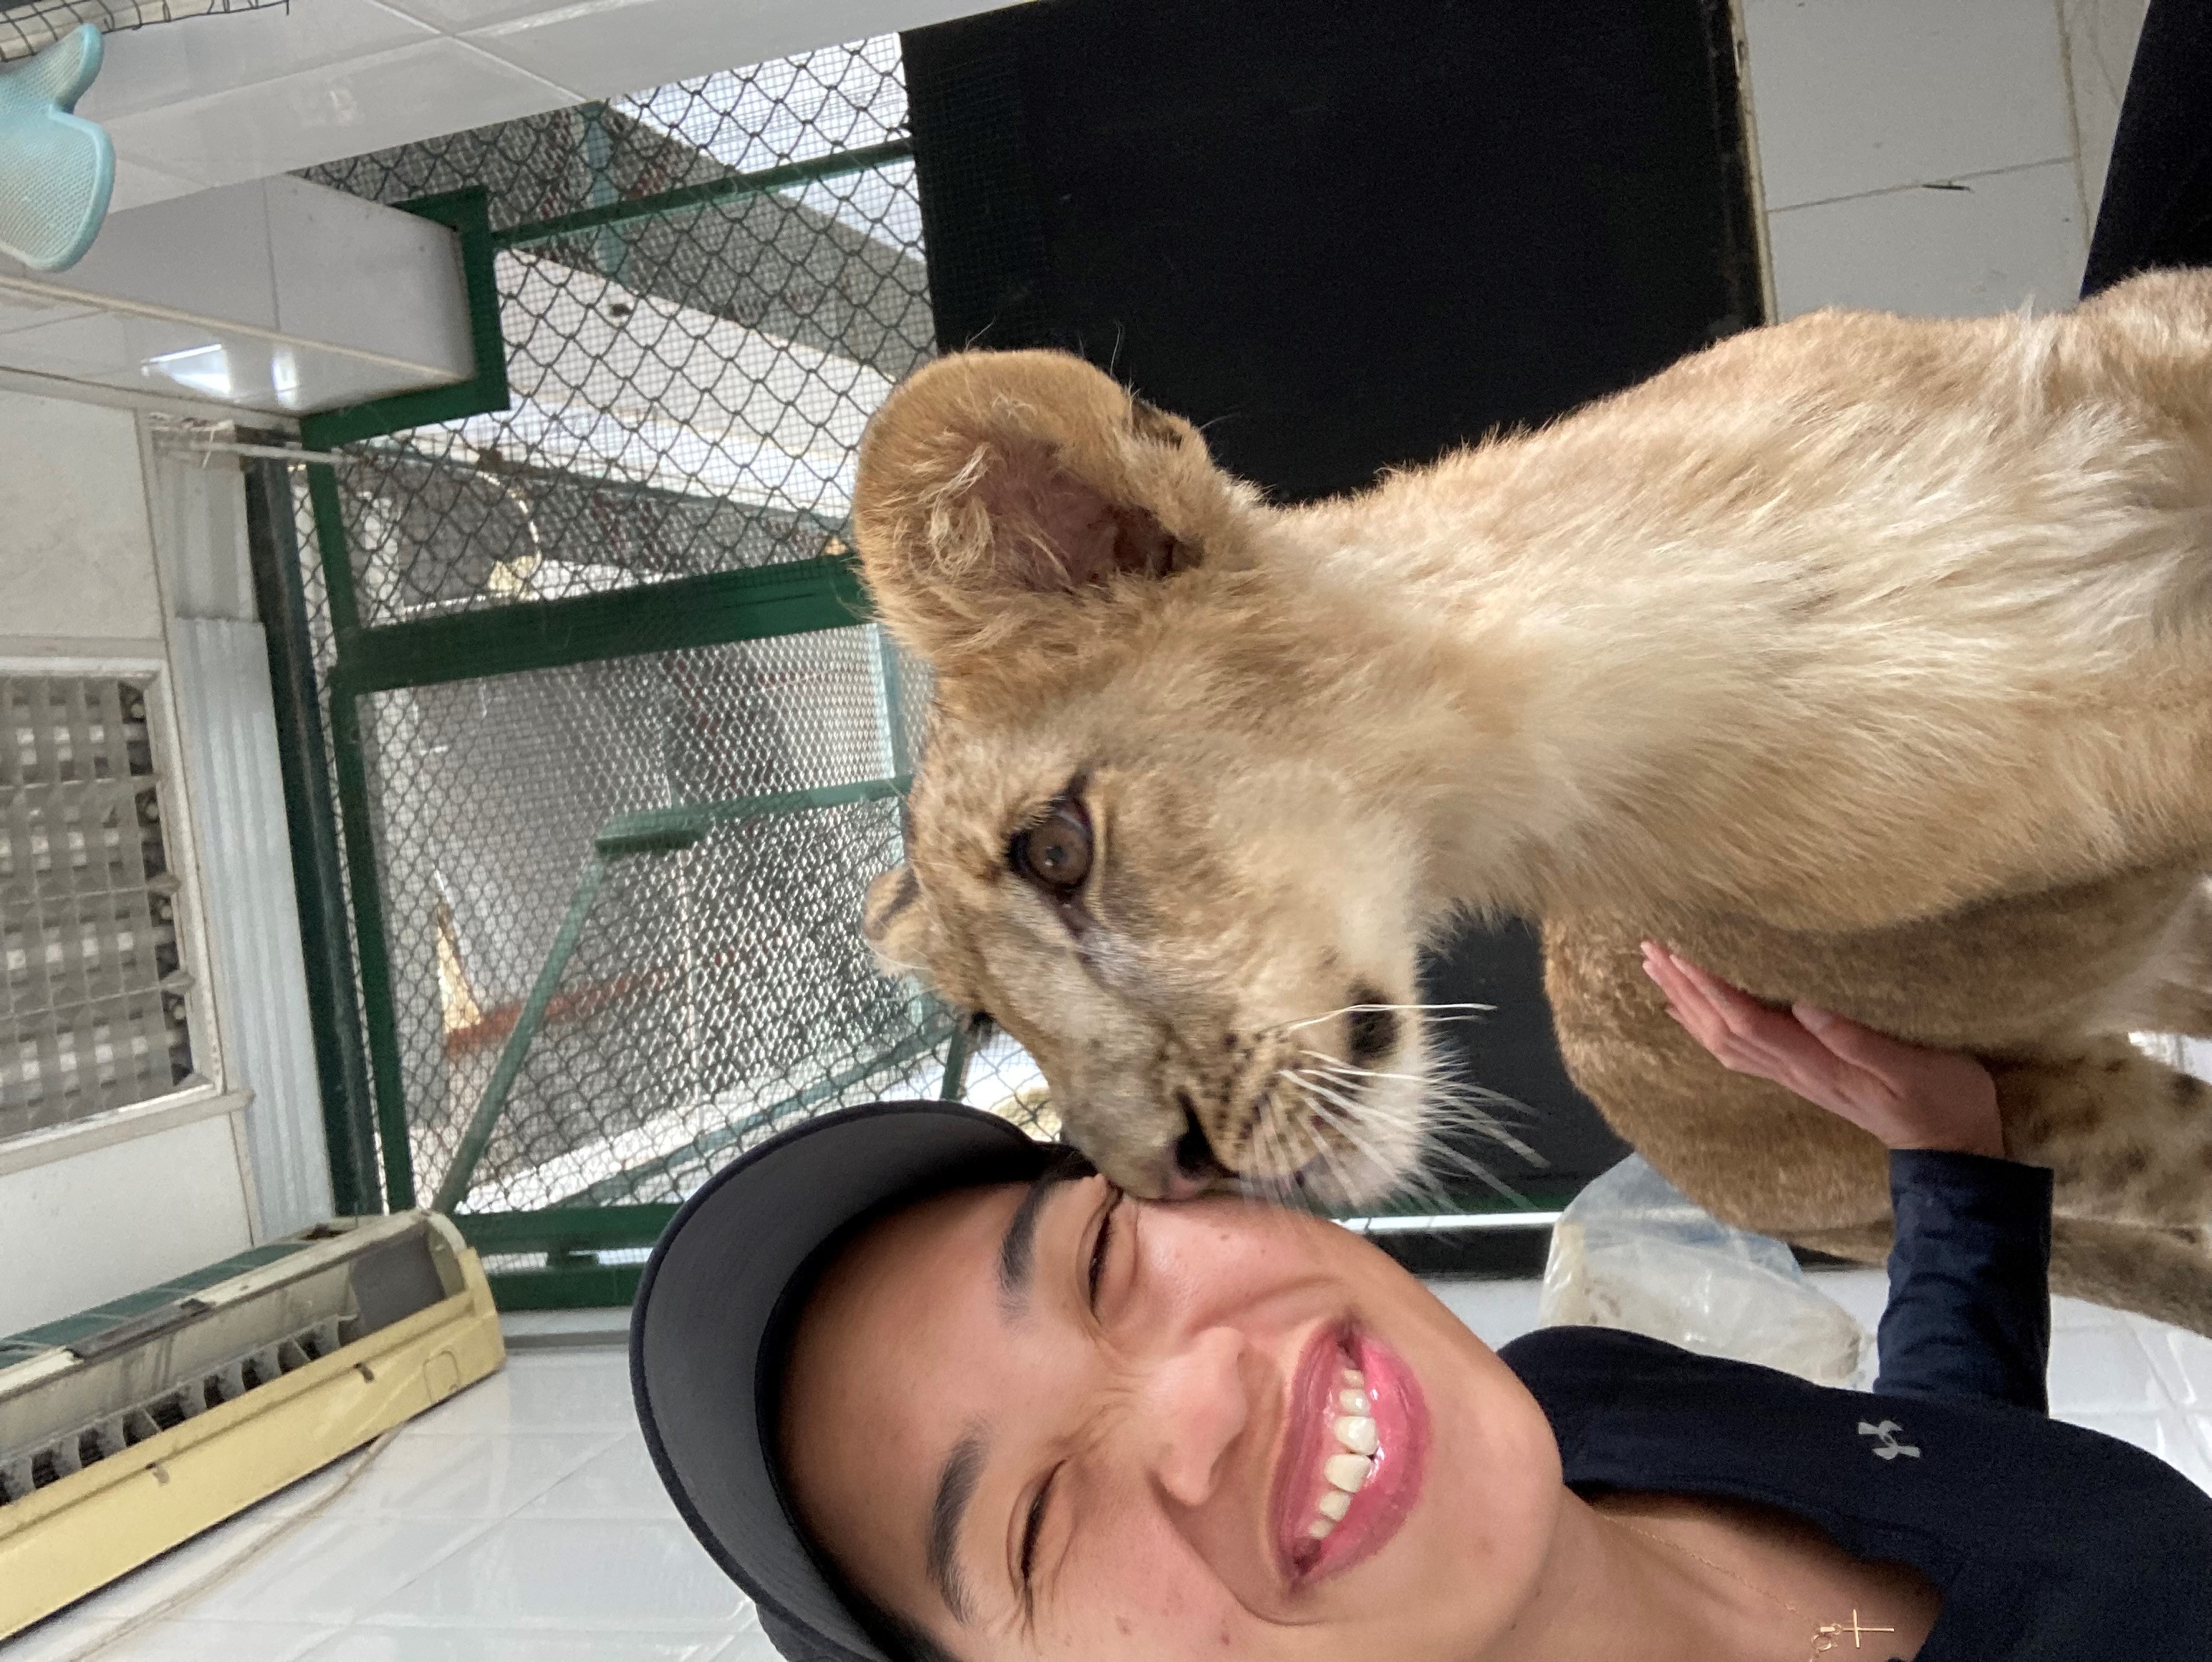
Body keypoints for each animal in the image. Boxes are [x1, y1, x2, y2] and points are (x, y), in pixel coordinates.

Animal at [850, 267, 2212, 1335]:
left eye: (1056, 852)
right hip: (2042, 1107)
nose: (1162, 1177)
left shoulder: (2140, 355)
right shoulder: (2104, 777)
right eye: (984, 1014)